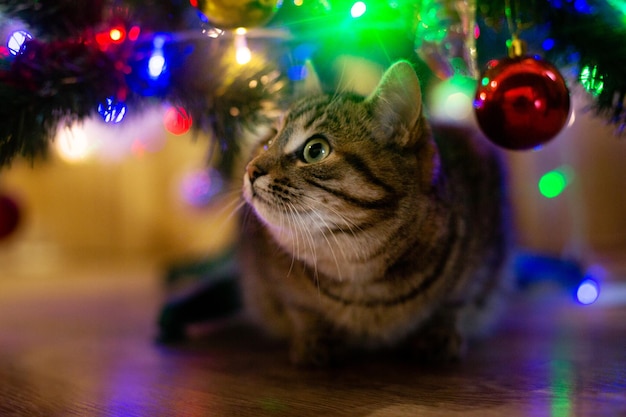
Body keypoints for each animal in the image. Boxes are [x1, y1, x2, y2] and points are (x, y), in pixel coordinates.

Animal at [235, 60, 508, 366]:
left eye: (315, 150)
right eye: (268, 141)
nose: (250, 170)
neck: (358, 271)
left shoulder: (481, 265)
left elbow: (453, 304)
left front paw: (439, 334)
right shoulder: (271, 278)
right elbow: (302, 310)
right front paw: (314, 339)